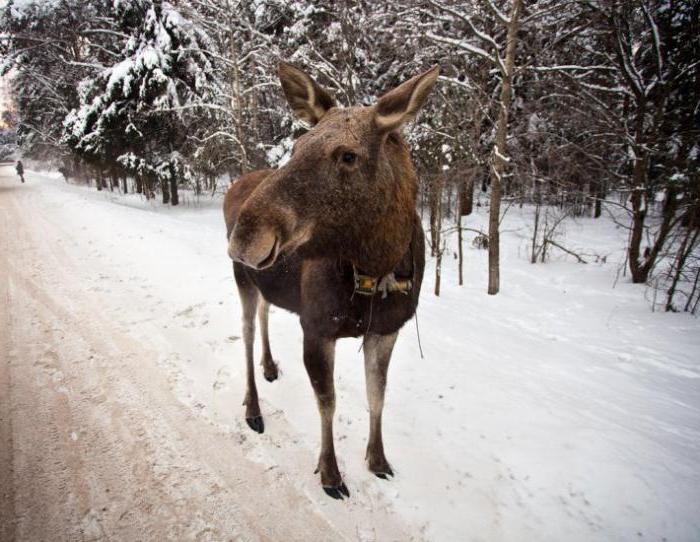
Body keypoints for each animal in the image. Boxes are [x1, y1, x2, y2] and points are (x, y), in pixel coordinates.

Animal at [226, 62, 438, 502]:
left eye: (348, 155)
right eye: (296, 146)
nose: (244, 238)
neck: (378, 265)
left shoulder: (386, 330)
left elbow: (377, 394)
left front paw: (378, 460)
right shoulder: (317, 327)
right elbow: (328, 402)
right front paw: (330, 474)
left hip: (265, 282)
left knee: (266, 313)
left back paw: (270, 366)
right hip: (242, 280)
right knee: (246, 332)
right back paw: (253, 408)